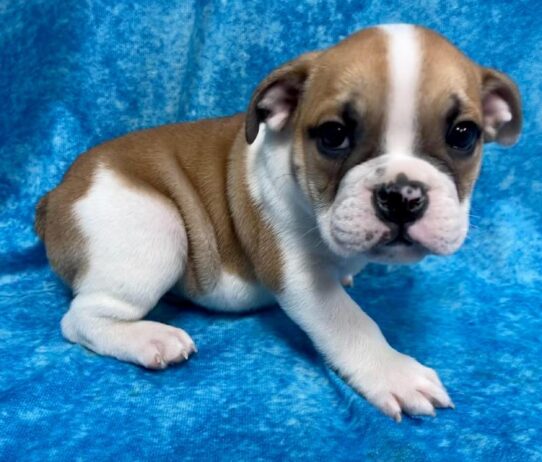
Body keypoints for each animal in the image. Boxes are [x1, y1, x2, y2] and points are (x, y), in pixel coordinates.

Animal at [35, 25, 524, 422]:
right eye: (333, 135)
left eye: (463, 135)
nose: (402, 195)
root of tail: (54, 196)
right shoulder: (299, 276)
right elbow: (352, 323)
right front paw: (394, 373)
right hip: (156, 228)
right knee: (81, 318)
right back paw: (149, 340)